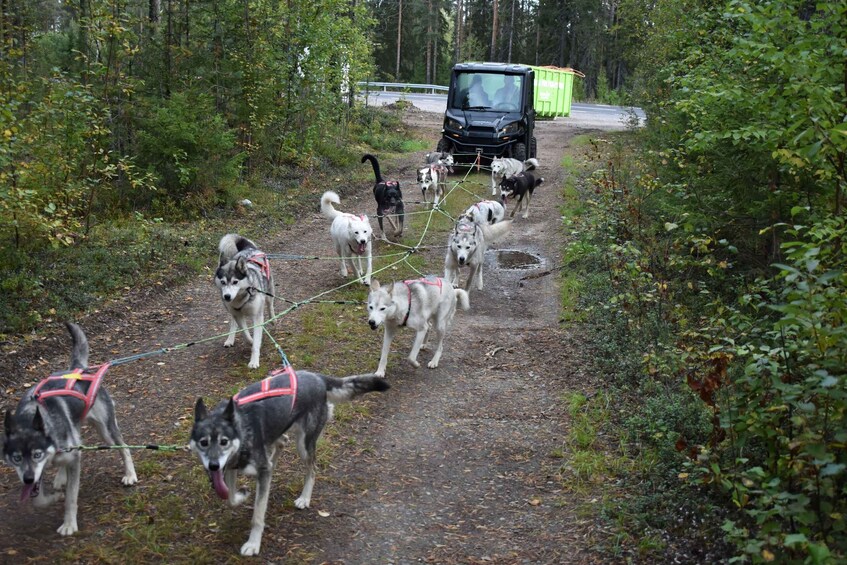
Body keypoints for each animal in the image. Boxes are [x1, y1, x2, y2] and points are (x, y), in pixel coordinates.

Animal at [1, 324, 137, 536]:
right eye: (16, 458)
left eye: (37, 454)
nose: (27, 480)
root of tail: (78, 369)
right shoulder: (38, 471)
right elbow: (38, 499)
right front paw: (52, 497)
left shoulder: (70, 460)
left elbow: (71, 498)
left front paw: (69, 524)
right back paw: (60, 477)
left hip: (106, 431)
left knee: (123, 447)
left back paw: (130, 474)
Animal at [190, 366, 390, 556]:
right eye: (203, 442)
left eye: (224, 441)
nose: (213, 466)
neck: (241, 428)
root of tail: (318, 377)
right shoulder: (231, 467)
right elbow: (230, 497)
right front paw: (241, 495)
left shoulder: (255, 469)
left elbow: (257, 516)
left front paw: (253, 544)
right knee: (282, 444)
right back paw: (273, 463)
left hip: (303, 445)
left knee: (312, 469)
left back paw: (304, 498)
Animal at [215, 231, 274, 368]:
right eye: (223, 282)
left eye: (235, 282)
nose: (227, 296)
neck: (242, 299)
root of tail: (248, 249)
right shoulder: (237, 314)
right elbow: (245, 333)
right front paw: (250, 341)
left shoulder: (257, 317)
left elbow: (256, 342)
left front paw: (254, 361)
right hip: (231, 311)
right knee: (233, 322)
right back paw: (230, 339)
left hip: (269, 290)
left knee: (270, 304)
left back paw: (273, 318)